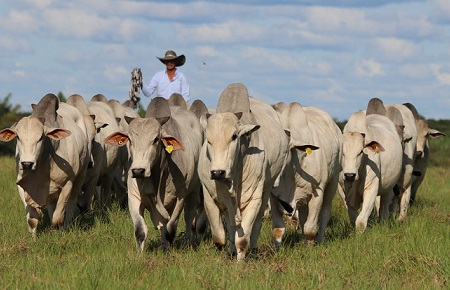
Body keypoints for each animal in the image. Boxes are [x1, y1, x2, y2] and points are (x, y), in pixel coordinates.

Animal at [0, 94, 90, 234]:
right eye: (18, 137)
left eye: (41, 137)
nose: (27, 164)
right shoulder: (22, 185)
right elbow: (32, 219)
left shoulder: (68, 183)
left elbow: (57, 218)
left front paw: (59, 230)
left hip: (81, 175)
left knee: (71, 204)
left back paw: (66, 225)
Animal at [104, 96, 203, 250]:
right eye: (130, 139)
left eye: (156, 139)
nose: (138, 171)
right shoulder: (133, 197)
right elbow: (140, 231)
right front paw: (140, 252)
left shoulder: (180, 197)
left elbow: (170, 229)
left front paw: (167, 249)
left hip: (193, 190)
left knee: (189, 216)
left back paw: (187, 241)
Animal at [198, 82, 288, 260]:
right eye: (208, 140)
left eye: (234, 136)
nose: (217, 172)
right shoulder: (210, 197)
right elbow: (220, 237)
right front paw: (228, 252)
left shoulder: (253, 198)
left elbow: (243, 239)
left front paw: (240, 262)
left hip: (266, 190)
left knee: (256, 224)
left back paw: (253, 250)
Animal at [270, 102, 342, 245]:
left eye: (283, 150)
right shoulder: (273, 198)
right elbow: (278, 229)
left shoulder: (317, 193)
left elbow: (310, 229)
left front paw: (311, 245)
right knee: (303, 216)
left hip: (333, 182)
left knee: (325, 212)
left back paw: (319, 239)